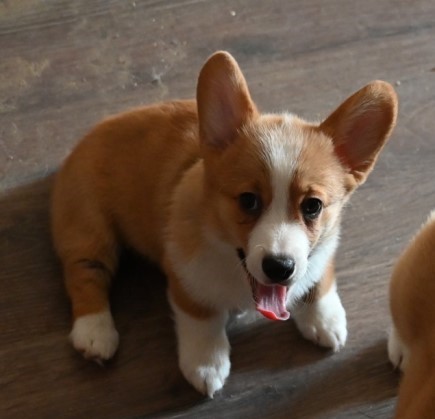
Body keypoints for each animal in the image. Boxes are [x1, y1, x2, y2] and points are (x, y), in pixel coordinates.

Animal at [51, 50, 398, 398]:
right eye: (248, 200)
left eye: (312, 206)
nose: (280, 268)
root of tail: (95, 130)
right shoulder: (185, 274)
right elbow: (201, 318)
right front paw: (207, 363)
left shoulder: (322, 249)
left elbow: (319, 278)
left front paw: (325, 319)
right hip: (89, 226)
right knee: (84, 272)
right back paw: (95, 331)